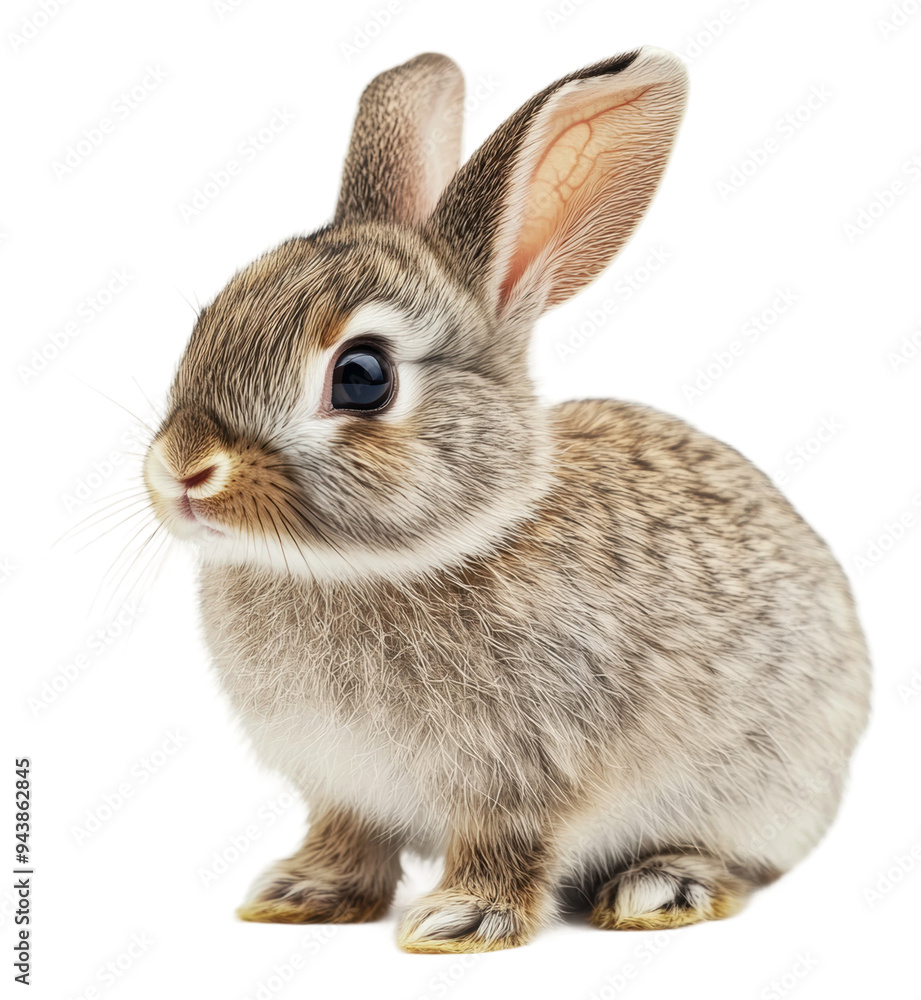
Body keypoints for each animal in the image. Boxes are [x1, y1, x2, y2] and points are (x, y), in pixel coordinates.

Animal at [143, 48, 871, 953]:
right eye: (209, 318)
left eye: (362, 376)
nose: (182, 470)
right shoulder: (341, 786)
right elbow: (347, 837)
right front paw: (301, 893)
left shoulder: (529, 772)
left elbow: (507, 847)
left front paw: (458, 919)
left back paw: (661, 887)